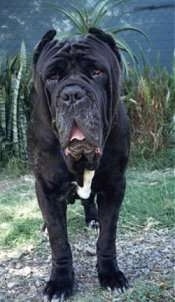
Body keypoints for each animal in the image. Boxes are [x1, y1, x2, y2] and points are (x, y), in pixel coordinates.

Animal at [27, 27, 130, 300]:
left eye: (97, 72)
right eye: (52, 76)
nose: (72, 94)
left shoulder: (114, 185)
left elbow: (107, 236)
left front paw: (110, 274)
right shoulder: (47, 188)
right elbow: (59, 240)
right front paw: (60, 282)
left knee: (89, 201)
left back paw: (92, 218)